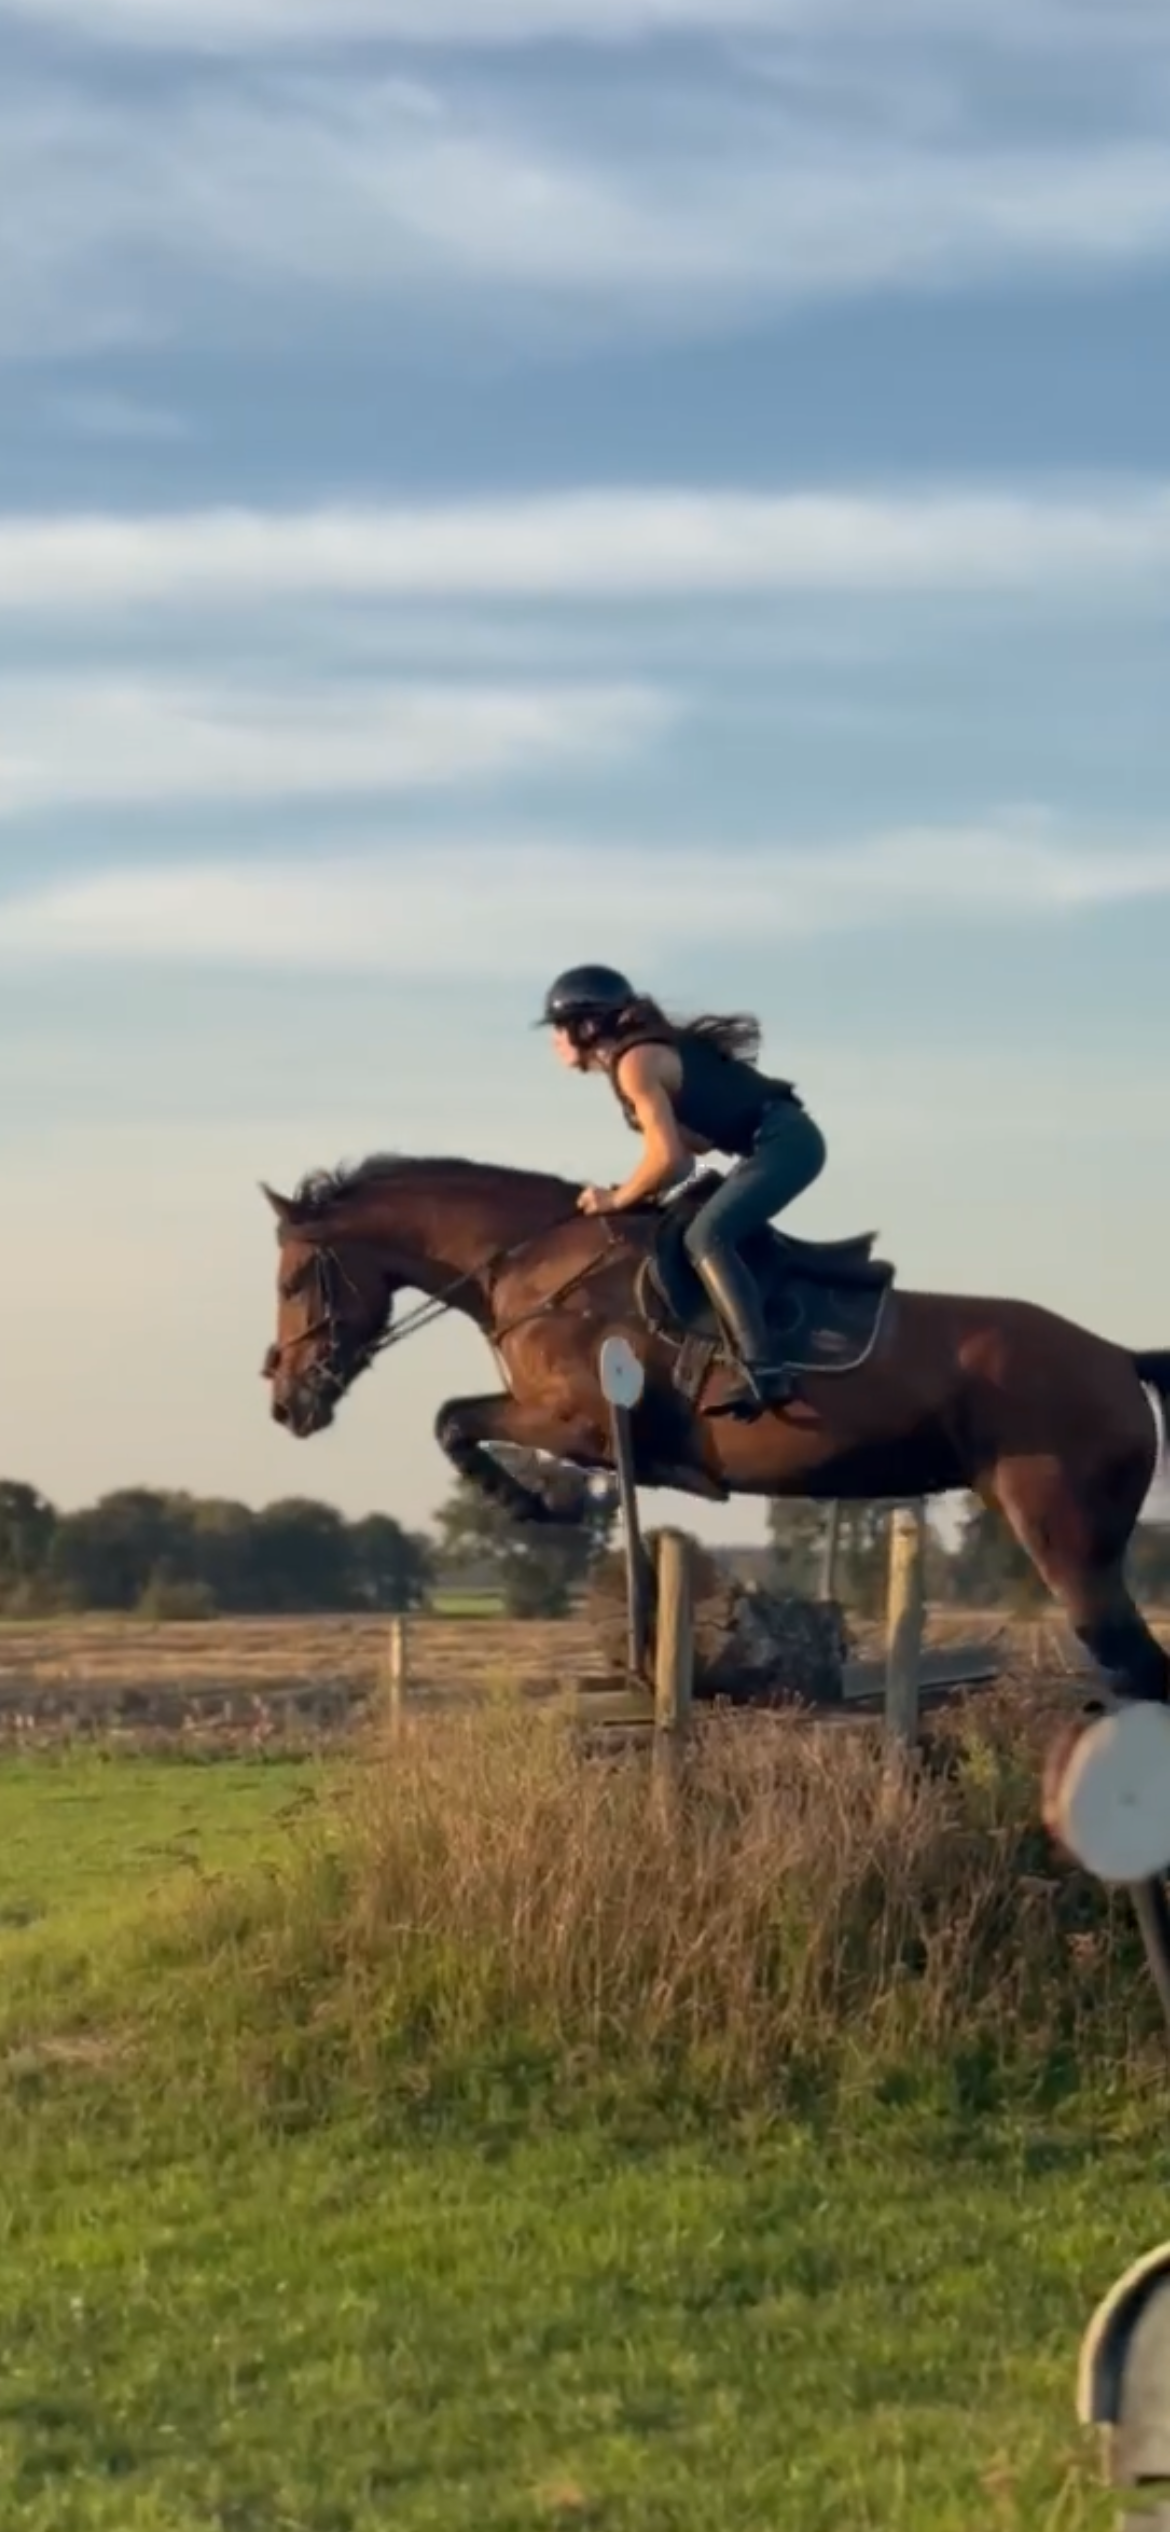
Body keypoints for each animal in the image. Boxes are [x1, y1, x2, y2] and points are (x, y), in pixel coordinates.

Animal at [260, 1150, 1170, 1711]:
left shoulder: (579, 1420)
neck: (534, 1264)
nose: (286, 1404)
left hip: (1064, 1536)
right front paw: (552, 1502)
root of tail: (1120, 1358)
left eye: (295, 1280)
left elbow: (453, 1420)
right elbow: (456, 1419)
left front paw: (544, 1504)